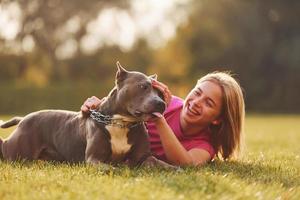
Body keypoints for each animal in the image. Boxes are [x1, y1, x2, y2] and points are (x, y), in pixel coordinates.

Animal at [0, 62, 173, 169]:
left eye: (161, 94)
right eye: (143, 87)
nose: (161, 103)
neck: (121, 123)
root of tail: (23, 118)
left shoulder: (144, 157)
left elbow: (164, 165)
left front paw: (176, 168)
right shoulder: (94, 159)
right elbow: (112, 168)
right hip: (17, 153)